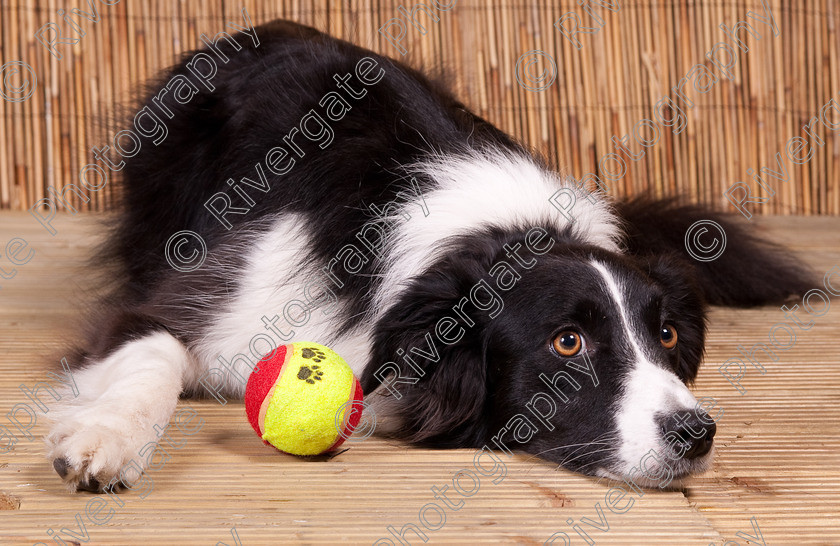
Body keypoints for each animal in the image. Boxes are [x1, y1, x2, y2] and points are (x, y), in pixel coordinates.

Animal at [46, 21, 808, 490]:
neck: (497, 237)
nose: (696, 433)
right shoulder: (209, 297)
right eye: (567, 342)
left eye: (669, 335)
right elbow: (153, 351)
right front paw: (108, 438)